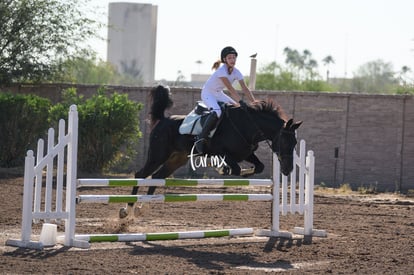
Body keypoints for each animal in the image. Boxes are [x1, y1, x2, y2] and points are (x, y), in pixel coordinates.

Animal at [119, 85, 300, 219]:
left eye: (295, 143)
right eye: (285, 141)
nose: (288, 169)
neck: (248, 125)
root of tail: (162, 120)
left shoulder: (246, 153)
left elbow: (258, 167)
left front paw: (241, 171)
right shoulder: (222, 153)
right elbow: (235, 168)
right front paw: (223, 169)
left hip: (177, 159)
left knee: (157, 176)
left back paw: (142, 207)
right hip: (157, 155)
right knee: (141, 175)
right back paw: (127, 210)